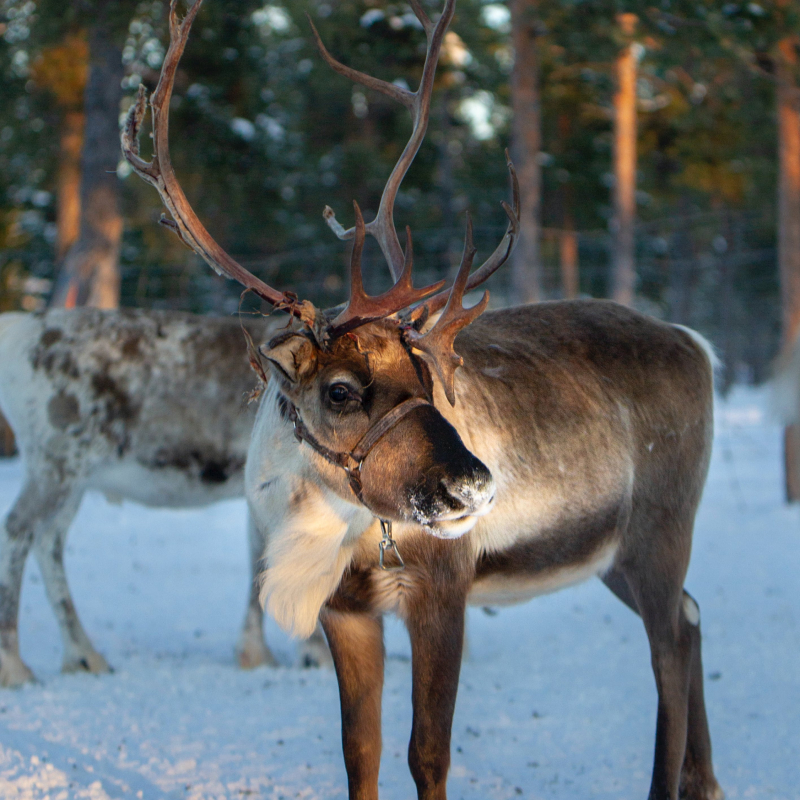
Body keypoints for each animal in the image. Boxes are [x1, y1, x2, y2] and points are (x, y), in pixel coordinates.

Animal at [0, 308, 332, 688]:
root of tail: (17, 327)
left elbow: (262, 559)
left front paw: (256, 654)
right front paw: (311, 654)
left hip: (69, 477)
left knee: (48, 540)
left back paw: (84, 655)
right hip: (55, 461)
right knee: (17, 529)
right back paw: (14, 666)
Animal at [122, 2, 723, 798]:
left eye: (428, 379)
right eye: (341, 390)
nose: (473, 485)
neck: (327, 519)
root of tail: (698, 344)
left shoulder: (443, 585)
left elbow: (427, 752)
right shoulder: (345, 610)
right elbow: (362, 750)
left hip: (660, 528)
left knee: (669, 647)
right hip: (614, 556)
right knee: (690, 620)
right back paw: (708, 782)